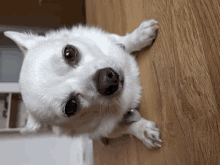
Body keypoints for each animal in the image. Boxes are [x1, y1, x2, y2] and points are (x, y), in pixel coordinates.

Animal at [3, 19, 162, 148]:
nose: (106, 80)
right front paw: (143, 131)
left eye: (69, 53)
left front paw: (140, 35)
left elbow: (123, 42)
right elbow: (127, 127)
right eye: (70, 106)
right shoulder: (110, 129)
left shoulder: (112, 40)